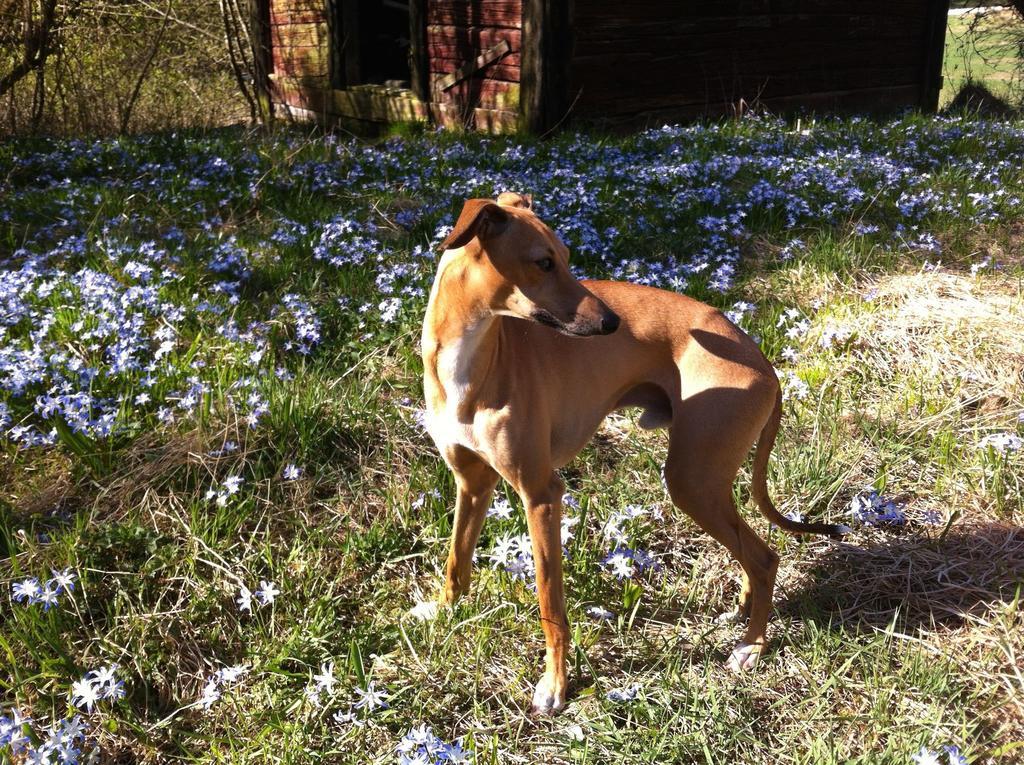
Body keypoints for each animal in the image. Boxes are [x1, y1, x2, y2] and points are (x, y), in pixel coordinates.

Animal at [419, 194, 843, 716]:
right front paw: (444, 611)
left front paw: (556, 685)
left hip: (691, 481)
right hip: (706, 481)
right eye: (543, 262)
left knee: (764, 558)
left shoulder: (541, 493)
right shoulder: (472, 484)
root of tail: (764, 362)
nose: (611, 324)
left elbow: (550, 604)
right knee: (751, 552)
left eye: (566, 256)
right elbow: (457, 561)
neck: (470, 357)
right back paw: (744, 612)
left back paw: (752, 645)